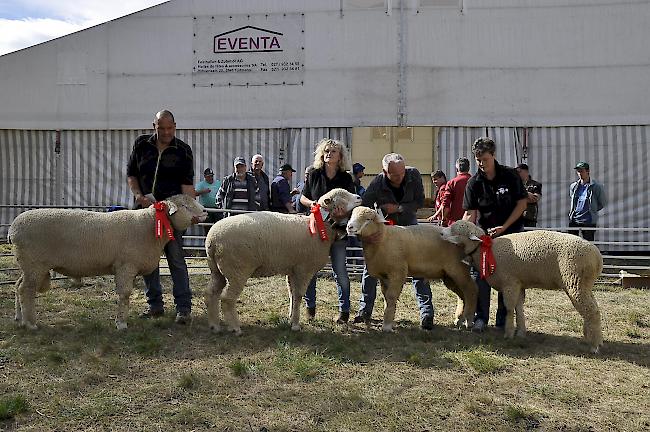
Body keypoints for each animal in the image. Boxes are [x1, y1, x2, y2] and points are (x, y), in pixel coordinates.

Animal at [10, 194, 208, 330]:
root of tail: (13, 229)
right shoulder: (126, 266)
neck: (150, 224)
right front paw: (121, 324)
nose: (205, 212)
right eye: (185, 205)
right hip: (34, 263)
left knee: (18, 286)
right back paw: (30, 324)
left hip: (27, 265)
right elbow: (125, 294)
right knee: (25, 290)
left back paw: (19, 319)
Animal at [205, 186, 362, 334]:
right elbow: (298, 296)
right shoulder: (303, 269)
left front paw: (290, 318)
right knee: (227, 299)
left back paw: (214, 326)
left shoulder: (292, 269)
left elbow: (291, 294)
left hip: (218, 270)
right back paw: (235, 328)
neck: (320, 226)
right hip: (237, 270)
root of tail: (212, 239)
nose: (359, 197)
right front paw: (296, 325)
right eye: (342, 197)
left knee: (210, 294)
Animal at [344, 206, 476, 330]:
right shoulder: (384, 276)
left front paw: (387, 325)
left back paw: (468, 321)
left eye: (368, 219)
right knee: (462, 295)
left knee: (471, 289)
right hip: (449, 276)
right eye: (352, 215)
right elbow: (386, 297)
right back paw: (459, 319)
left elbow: (391, 296)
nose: (349, 227)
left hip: (458, 268)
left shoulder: (398, 271)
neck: (382, 238)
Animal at [440, 219, 604, 352]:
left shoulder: (509, 282)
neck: (485, 250)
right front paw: (520, 333)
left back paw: (594, 346)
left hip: (575, 281)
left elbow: (509, 308)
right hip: (585, 284)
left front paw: (509, 333)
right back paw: (594, 338)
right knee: (594, 308)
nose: (441, 232)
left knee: (592, 311)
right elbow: (519, 308)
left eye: (456, 230)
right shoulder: (518, 283)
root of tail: (598, 257)